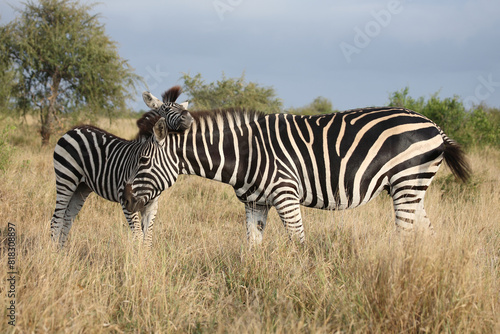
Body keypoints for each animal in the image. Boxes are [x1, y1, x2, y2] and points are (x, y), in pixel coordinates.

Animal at [50, 86, 191, 248]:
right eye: (167, 109)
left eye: (183, 108)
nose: (188, 118)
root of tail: (73, 129)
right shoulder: (126, 201)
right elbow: (138, 236)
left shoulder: (151, 205)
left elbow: (147, 238)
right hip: (66, 179)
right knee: (56, 219)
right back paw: (53, 252)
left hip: (82, 187)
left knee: (67, 219)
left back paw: (61, 252)